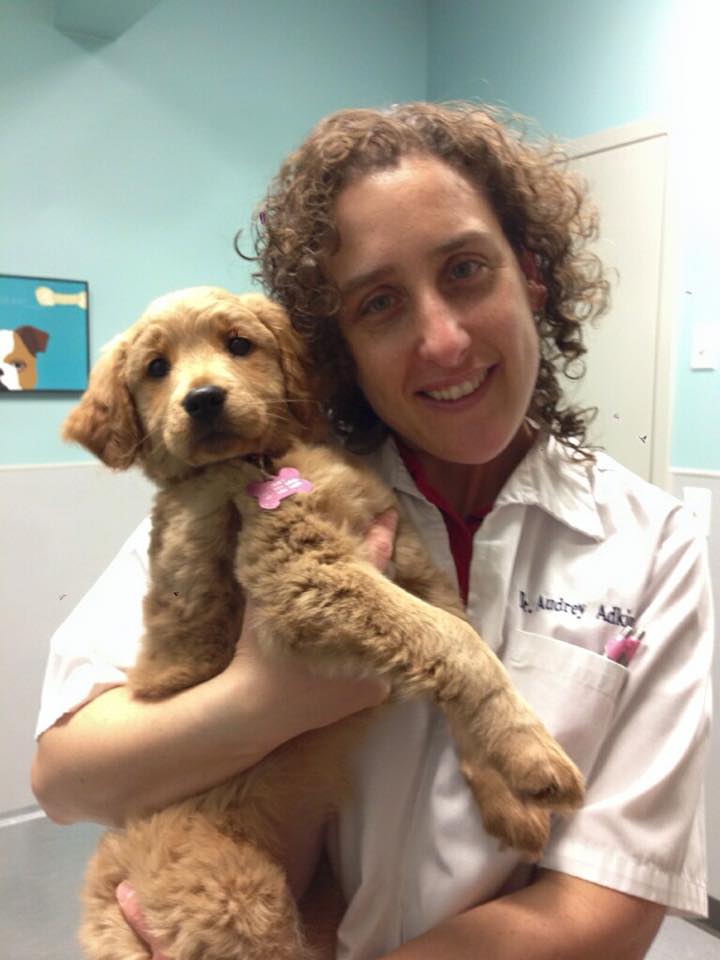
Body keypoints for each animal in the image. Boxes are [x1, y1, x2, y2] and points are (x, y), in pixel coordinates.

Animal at [59, 286, 584, 960]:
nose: (202, 400)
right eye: (156, 368)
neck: (267, 460)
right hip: (235, 896)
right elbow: (459, 646)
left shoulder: (417, 568)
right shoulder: (304, 573)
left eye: (239, 343)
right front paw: (533, 756)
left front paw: (509, 796)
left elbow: (461, 654)